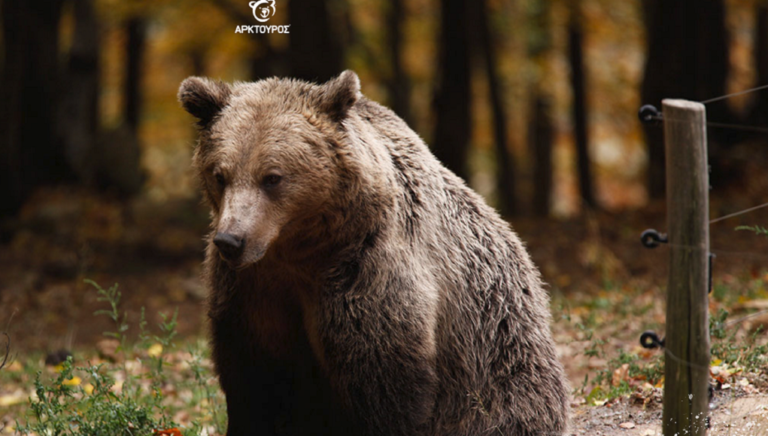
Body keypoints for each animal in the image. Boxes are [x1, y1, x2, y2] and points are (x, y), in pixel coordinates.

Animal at [177, 71, 568, 436]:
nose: (231, 240)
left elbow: (383, 379)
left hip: (499, 350)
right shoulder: (251, 289)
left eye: (272, 177)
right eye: (220, 175)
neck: (299, 250)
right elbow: (253, 377)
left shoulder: (364, 272)